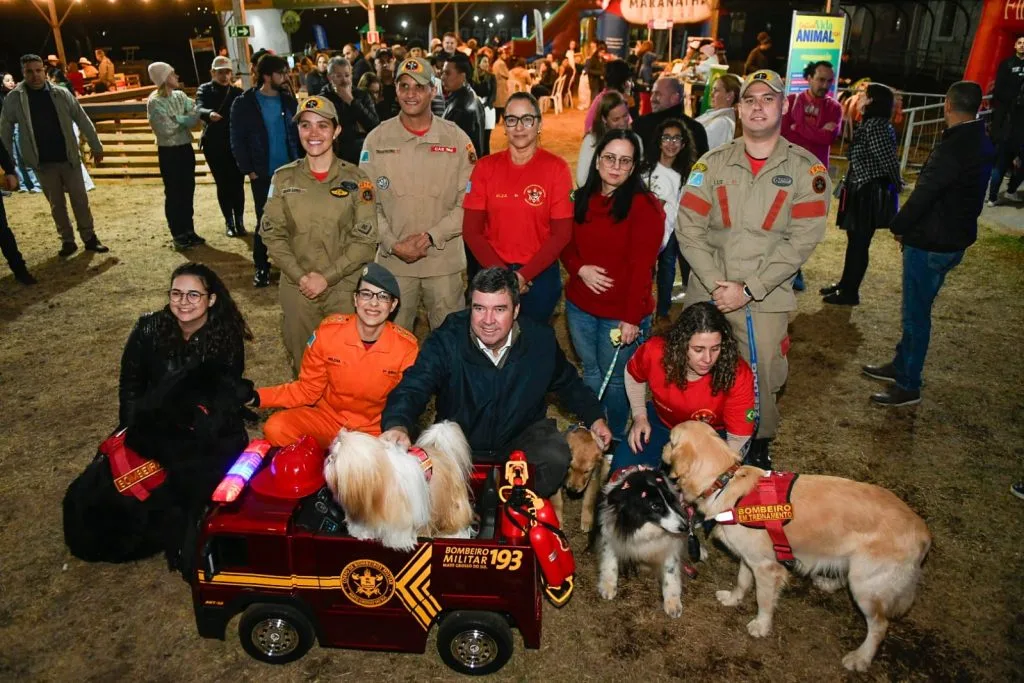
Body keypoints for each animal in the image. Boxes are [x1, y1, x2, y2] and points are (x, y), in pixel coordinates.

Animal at [659, 421, 933, 671]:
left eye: (670, 440)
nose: (661, 447)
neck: (724, 482)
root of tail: (923, 531)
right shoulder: (750, 558)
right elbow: (742, 581)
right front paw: (733, 599)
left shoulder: (767, 568)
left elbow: (763, 599)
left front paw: (761, 625)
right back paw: (828, 584)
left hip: (865, 583)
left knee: (879, 625)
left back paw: (860, 658)